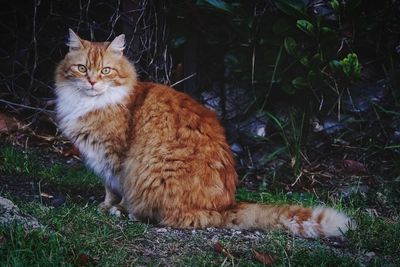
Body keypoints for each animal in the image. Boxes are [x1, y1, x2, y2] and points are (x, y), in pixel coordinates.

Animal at [54, 30, 354, 240]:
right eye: (82, 68)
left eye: (106, 70)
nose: (92, 82)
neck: (89, 104)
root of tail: (226, 205)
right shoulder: (102, 159)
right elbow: (108, 190)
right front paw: (104, 206)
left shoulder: (116, 158)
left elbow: (118, 188)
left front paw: (115, 208)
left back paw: (131, 214)